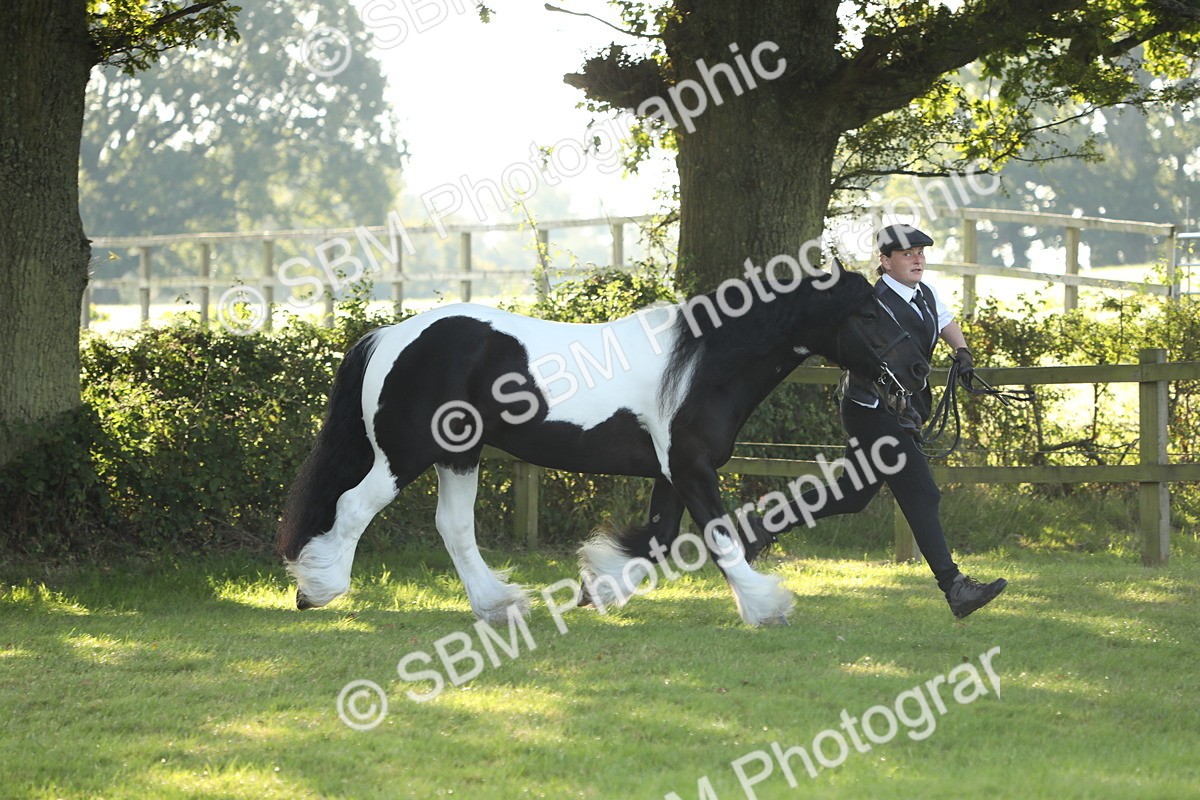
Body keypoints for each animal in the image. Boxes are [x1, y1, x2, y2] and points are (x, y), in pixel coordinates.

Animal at [275, 266, 930, 626]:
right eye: (869, 313)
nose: (919, 369)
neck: (702, 365)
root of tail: (391, 335)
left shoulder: (672, 474)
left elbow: (658, 538)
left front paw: (598, 585)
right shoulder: (691, 469)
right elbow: (720, 537)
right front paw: (766, 606)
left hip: (460, 455)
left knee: (454, 528)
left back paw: (498, 604)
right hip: (404, 456)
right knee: (353, 507)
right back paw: (318, 589)